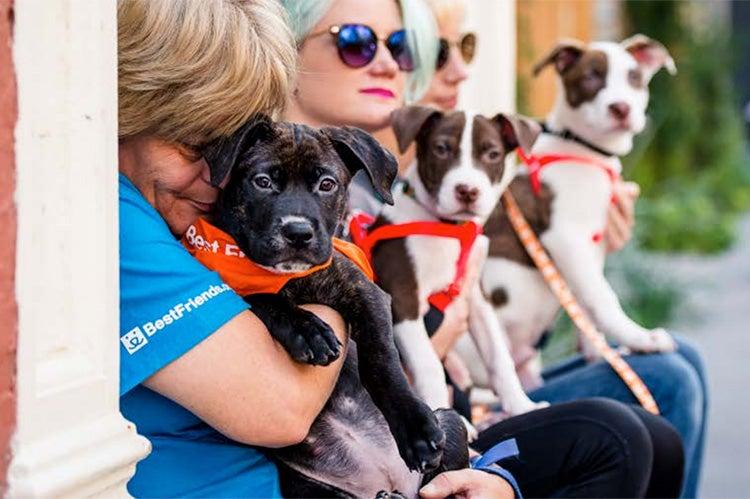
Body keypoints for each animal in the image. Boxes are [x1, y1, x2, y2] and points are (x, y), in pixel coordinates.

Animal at [203, 118, 468, 499]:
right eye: (263, 181)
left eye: (326, 184)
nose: (298, 232)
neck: (291, 278)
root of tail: (383, 482)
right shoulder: (233, 283)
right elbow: (265, 299)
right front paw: (309, 331)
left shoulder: (363, 291)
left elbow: (382, 359)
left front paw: (415, 429)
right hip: (302, 487)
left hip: (451, 422)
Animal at [374, 107, 548, 420]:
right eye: (441, 149)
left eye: (492, 154)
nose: (467, 190)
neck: (448, 227)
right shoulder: (402, 297)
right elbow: (428, 363)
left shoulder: (476, 300)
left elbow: (499, 357)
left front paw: (521, 406)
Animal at [462, 34, 680, 390]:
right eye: (590, 77)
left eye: (634, 77)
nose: (621, 108)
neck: (584, 149)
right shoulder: (566, 239)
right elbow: (603, 297)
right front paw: (638, 338)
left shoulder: (592, 247)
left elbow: (586, 302)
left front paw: (598, 350)